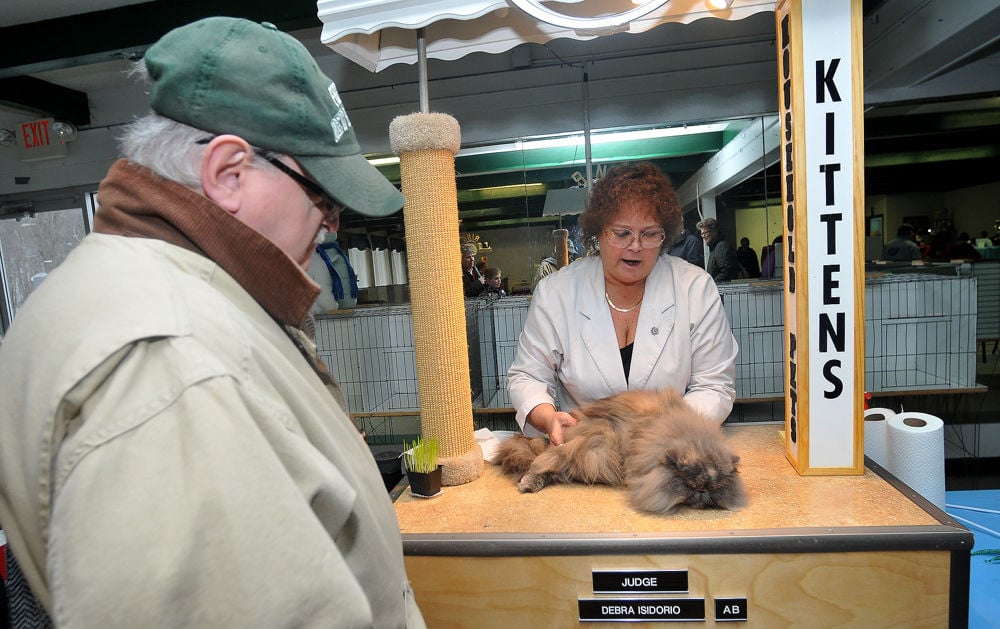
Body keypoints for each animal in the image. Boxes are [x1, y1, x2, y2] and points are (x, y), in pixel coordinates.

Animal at [496, 388, 748, 516]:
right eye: (688, 483)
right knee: (542, 464)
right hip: (589, 449)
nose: (702, 491)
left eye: (714, 487)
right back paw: (528, 483)